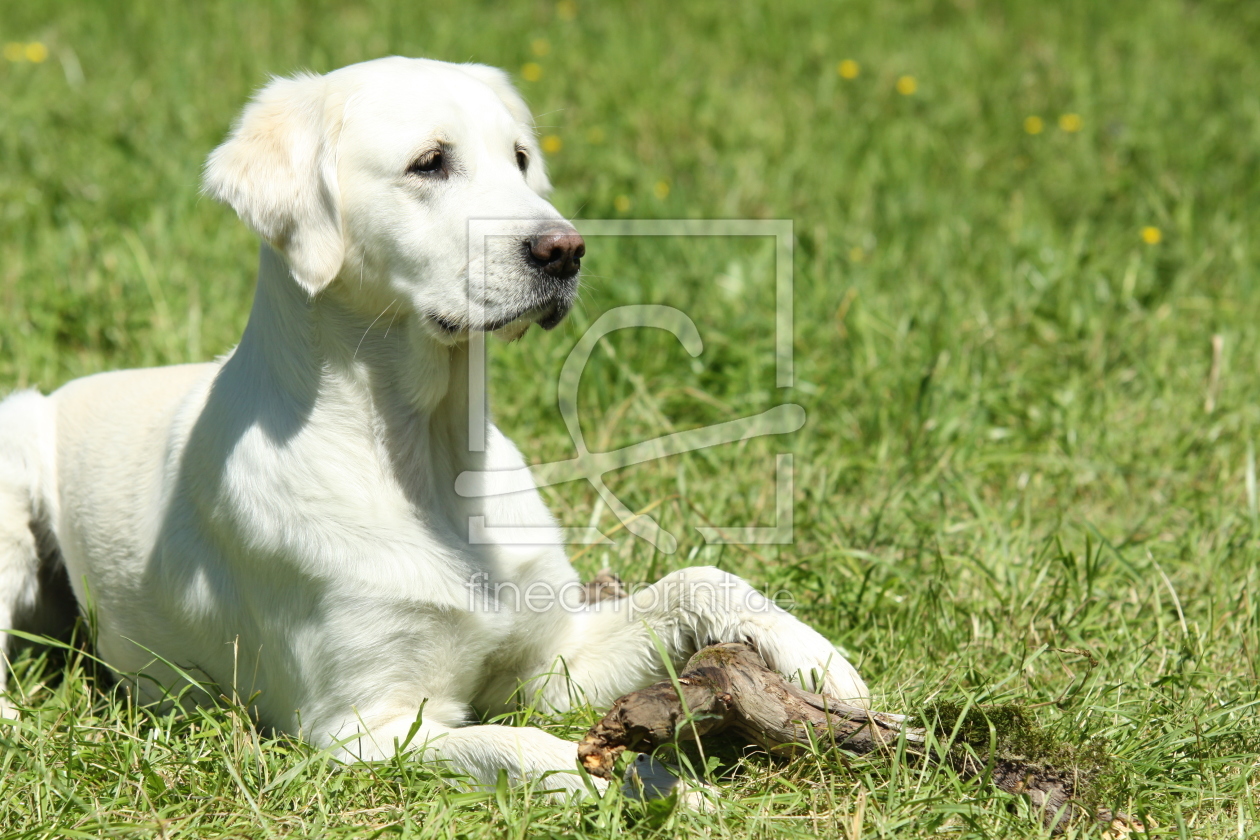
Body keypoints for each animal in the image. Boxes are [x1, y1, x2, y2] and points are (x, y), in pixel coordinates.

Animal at [0, 57, 866, 795]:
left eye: (521, 159)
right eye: (430, 163)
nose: (566, 250)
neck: (430, 453)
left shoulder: (551, 661)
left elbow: (700, 578)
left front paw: (820, 662)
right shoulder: (361, 725)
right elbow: (521, 744)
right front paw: (649, 786)